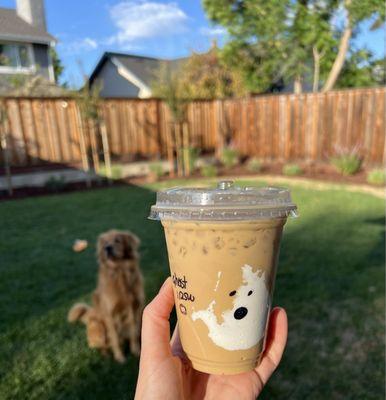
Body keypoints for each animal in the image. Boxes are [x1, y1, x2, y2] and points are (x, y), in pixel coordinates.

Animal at [68, 228, 145, 362]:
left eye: (118, 240)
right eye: (105, 243)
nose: (107, 248)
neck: (120, 272)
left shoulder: (135, 308)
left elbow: (133, 333)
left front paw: (137, 351)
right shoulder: (110, 314)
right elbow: (114, 338)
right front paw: (120, 357)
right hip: (98, 326)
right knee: (102, 345)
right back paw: (106, 355)